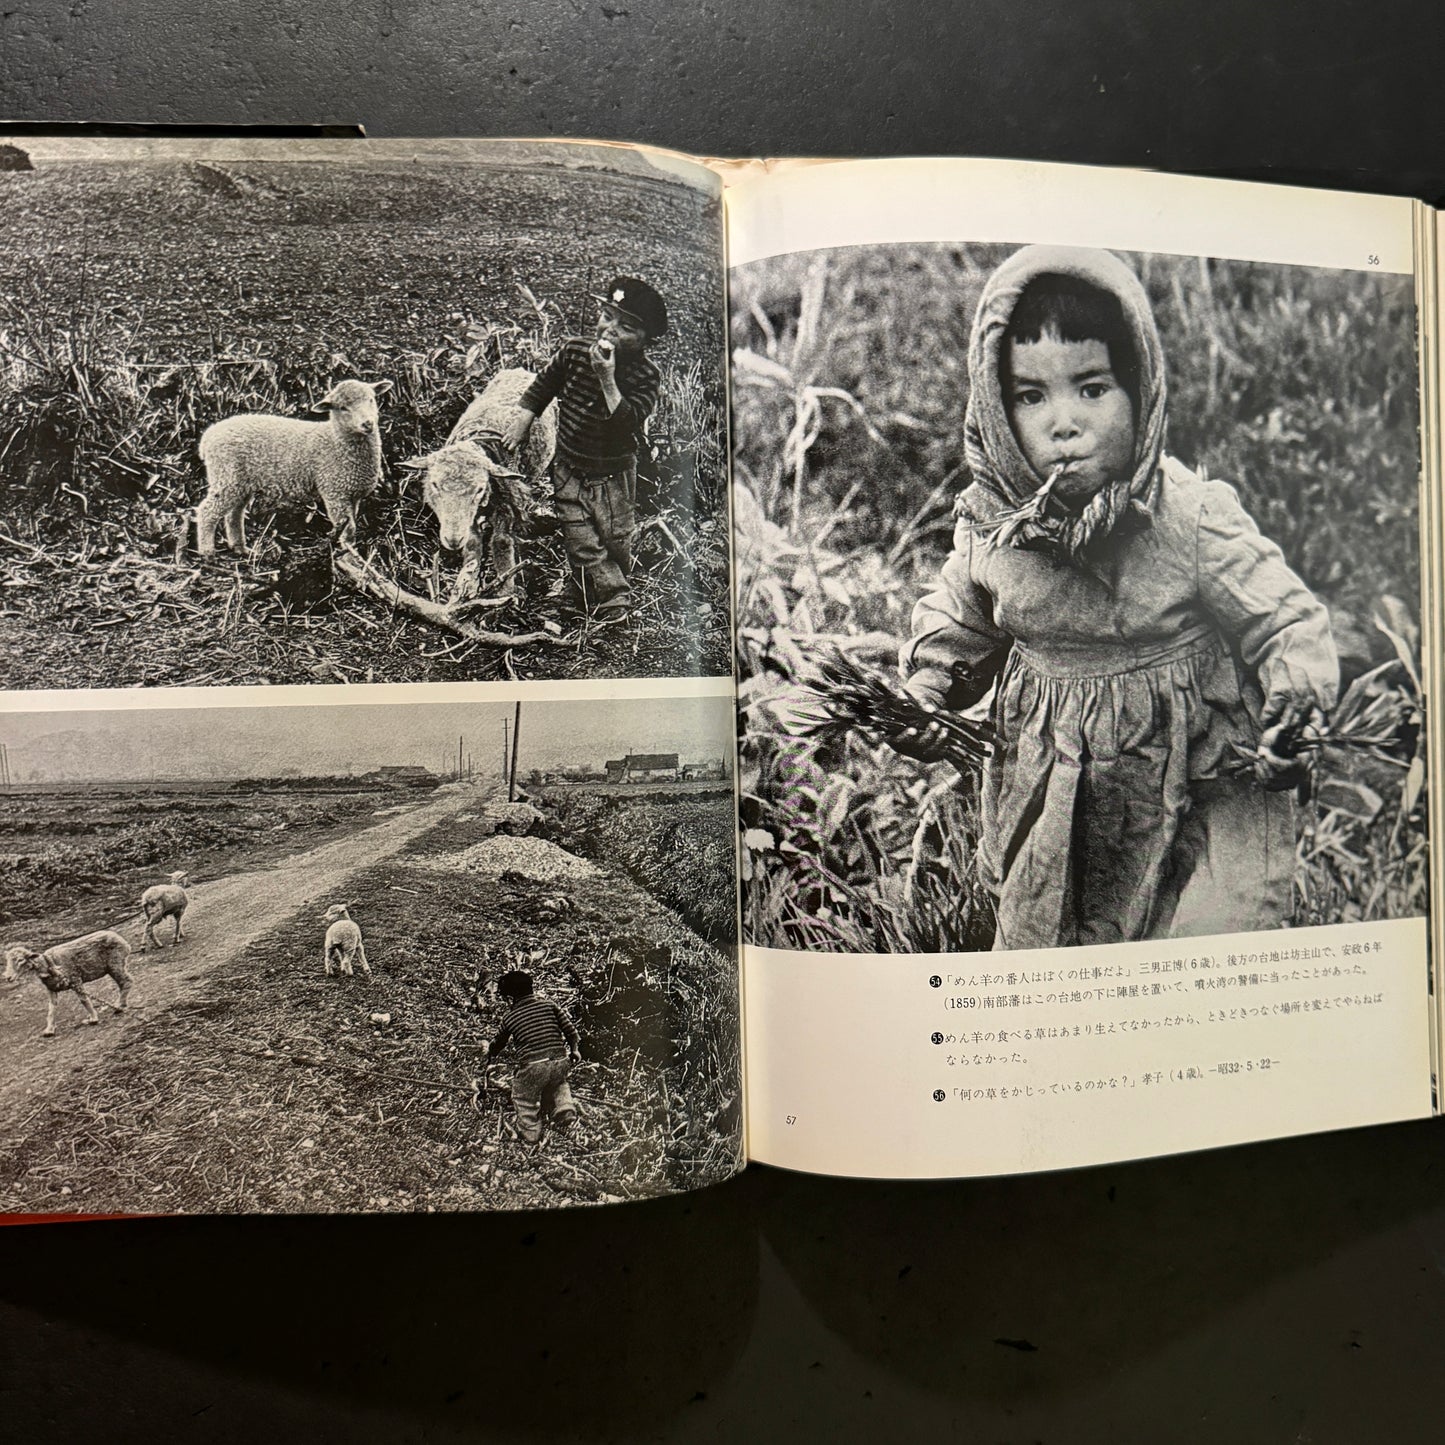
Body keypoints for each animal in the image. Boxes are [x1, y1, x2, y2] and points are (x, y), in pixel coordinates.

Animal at [2, 936, 134, 1040]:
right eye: (7, 961)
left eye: (20, 960)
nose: (7, 977)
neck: (47, 964)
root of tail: (124, 942)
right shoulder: (51, 989)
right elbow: (51, 1008)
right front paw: (49, 1030)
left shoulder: (75, 979)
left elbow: (84, 1000)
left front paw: (93, 1018)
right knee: (124, 982)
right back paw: (121, 1004)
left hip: (115, 963)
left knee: (127, 981)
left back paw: (119, 1006)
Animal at [196, 378, 395, 557]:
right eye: (343, 408)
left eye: (371, 399)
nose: (367, 423)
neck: (335, 439)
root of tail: (208, 436)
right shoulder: (334, 492)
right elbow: (348, 528)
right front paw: (350, 553)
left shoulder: (352, 495)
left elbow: (351, 525)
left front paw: (350, 551)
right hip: (226, 476)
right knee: (207, 510)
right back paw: (207, 553)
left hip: (240, 483)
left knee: (234, 514)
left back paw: (240, 548)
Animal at [401, 369, 557, 606]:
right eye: (434, 485)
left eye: (480, 489)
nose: (452, 540)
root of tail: (522, 370)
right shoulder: (470, 520)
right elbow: (473, 544)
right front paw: (465, 587)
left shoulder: (505, 507)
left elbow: (501, 543)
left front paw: (506, 591)